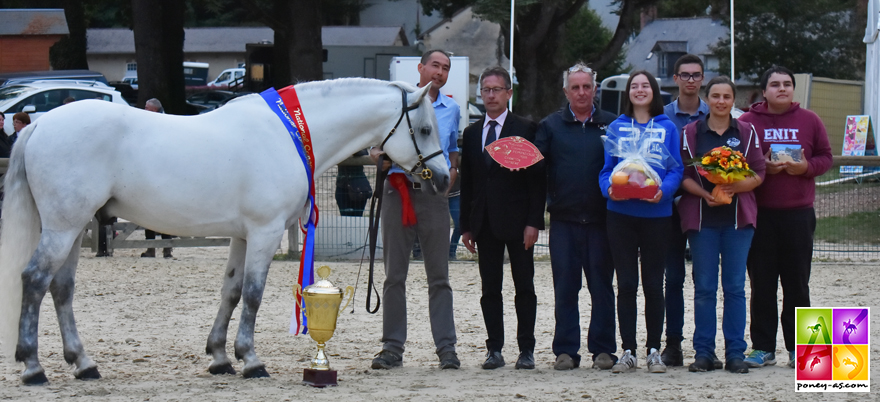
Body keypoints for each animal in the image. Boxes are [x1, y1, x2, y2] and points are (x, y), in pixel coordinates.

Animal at [0, 77, 450, 384]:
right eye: (425, 129)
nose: (445, 179)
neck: (289, 135)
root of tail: (38, 126)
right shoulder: (265, 232)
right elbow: (252, 294)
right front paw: (251, 360)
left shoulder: (242, 235)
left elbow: (231, 292)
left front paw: (219, 357)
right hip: (63, 227)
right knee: (35, 280)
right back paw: (33, 367)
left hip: (74, 229)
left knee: (61, 289)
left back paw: (83, 363)